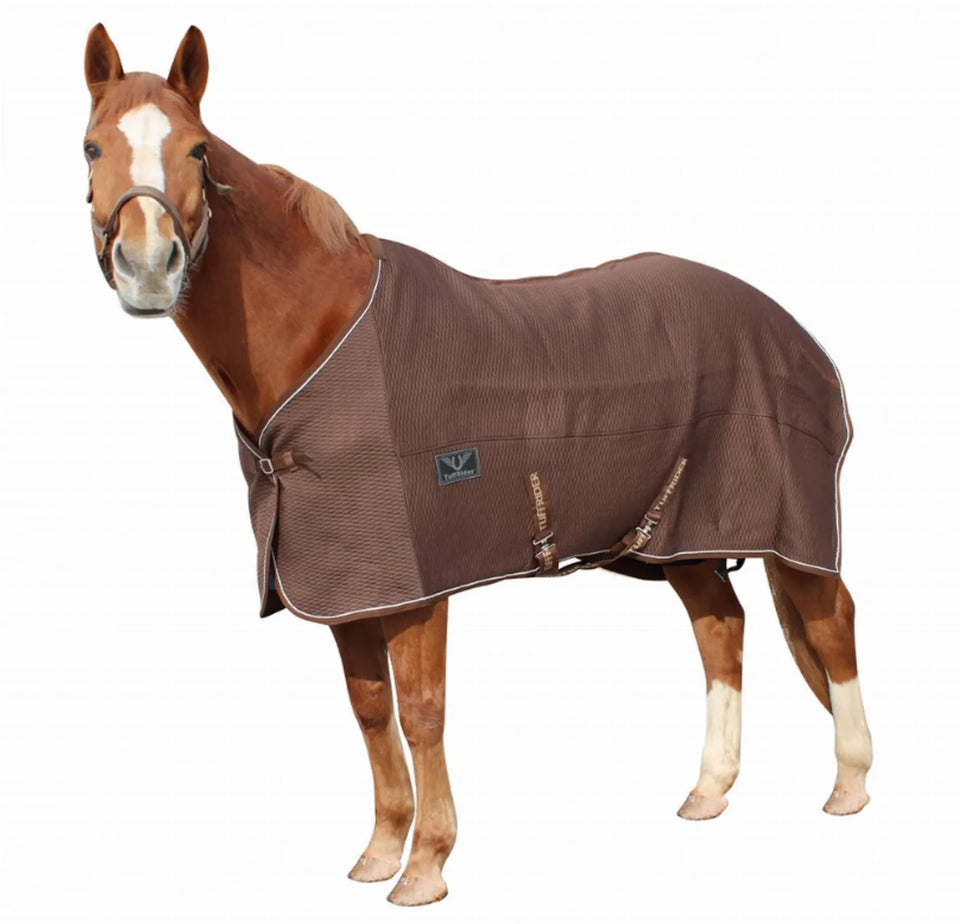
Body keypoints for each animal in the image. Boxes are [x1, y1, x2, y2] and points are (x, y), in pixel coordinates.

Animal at [82, 24, 873, 906]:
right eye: (90, 148)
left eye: (195, 149)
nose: (148, 266)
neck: (326, 341)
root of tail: (791, 327)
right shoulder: (345, 582)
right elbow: (369, 709)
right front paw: (379, 851)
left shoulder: (418, 585)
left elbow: (422, 710)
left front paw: (426, 864)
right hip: (681, 536)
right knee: (720, 629)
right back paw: (708, 791)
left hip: (787, 520)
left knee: (831, 622)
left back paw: (849, 785)